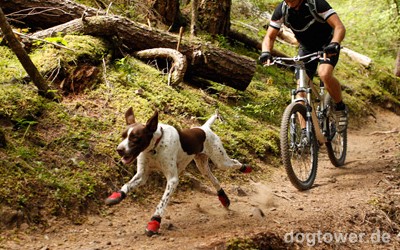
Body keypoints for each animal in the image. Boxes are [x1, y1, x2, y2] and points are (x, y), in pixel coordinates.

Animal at [104, 107, 252, 236]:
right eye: (123, 136)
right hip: (202, 166)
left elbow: (162, 203)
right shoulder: (142, 176)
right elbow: (127, 185)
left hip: (221, 161)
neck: (155, 146)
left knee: (235, 163)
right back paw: (224, 198)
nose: (119, 149)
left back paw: (246, 168)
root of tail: (204, 128)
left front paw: (154, 222)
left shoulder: (172, 180)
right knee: (214, 179)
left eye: (135, 138)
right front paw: (117, 195)